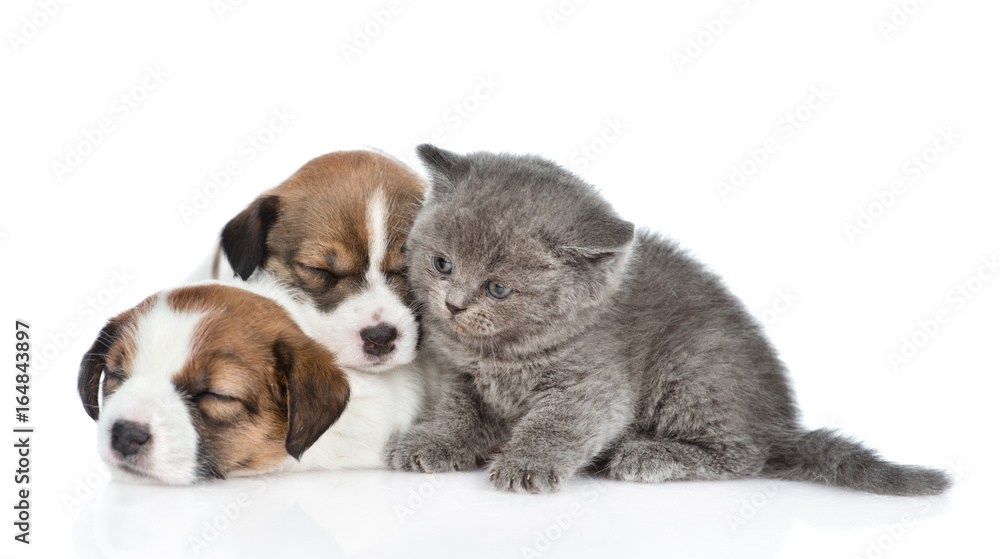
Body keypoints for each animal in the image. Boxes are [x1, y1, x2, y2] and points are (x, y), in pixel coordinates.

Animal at [384, 142, 952, 496]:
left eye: (498, 288)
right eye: (442, 264)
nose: (454, 304)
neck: (500, 353)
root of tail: (780, 423)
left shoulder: (593, 387)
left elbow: (559, 423)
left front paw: (528, 463)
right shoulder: (462, 378)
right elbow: (458, 414)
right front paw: (432, 443)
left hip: (695, 365)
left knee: (746, 455)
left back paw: (645, 455)